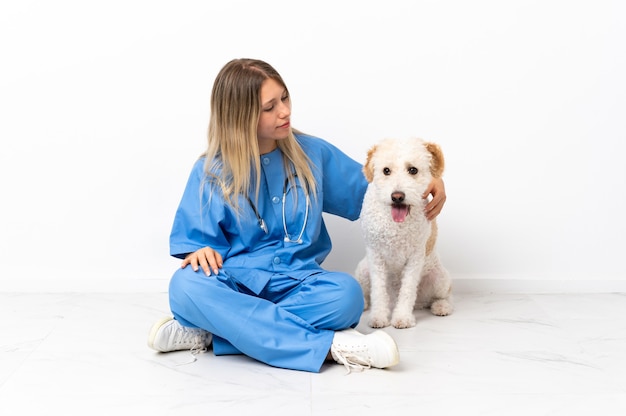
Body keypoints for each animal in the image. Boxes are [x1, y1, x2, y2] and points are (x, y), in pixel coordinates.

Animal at [354, 137, 450, 328]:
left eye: (413, 170)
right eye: (386, 170)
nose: (397, 196)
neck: (396, 225)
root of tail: (420, 304)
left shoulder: (415, 258)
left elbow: (407, 291)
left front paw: (403, 318)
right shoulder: (376, 257)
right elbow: (378, 291)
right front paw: (378, 317)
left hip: (440, 278)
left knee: (442, 296)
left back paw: (441, 306)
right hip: (363, 270)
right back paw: (364, 303)